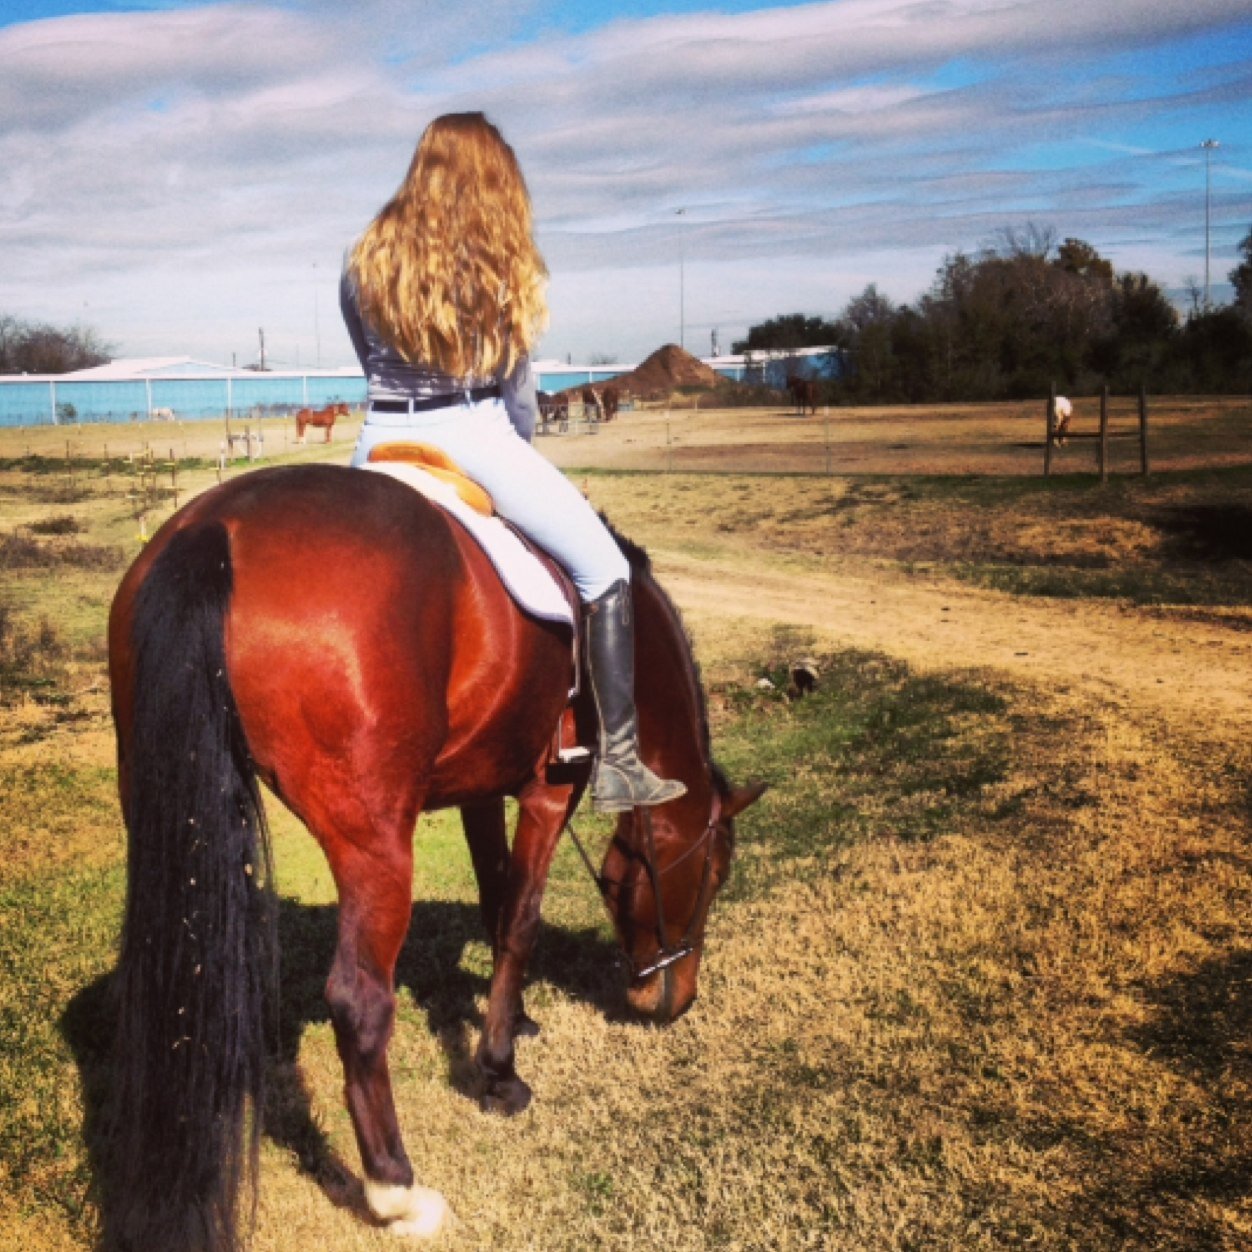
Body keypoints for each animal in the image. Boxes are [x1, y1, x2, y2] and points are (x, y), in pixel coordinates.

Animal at [105, 468, 761, 1252]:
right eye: (713, 878)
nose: (675, 999)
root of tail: (217, 525)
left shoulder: (481, 786)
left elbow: (495, 899)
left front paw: (513, 1021)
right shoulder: (548, 792)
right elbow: (520, 920)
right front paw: (499, 1072)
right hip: (375, 845)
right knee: (359, 1002)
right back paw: (397, 1190)